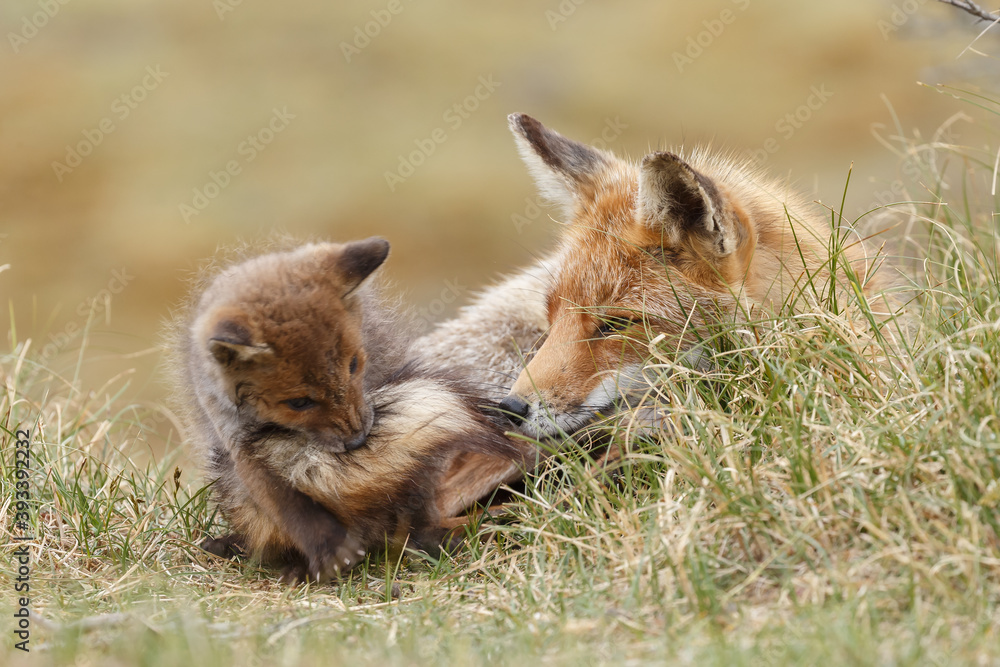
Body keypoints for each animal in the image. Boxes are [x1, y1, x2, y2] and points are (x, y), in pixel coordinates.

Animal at [168, 238, 532, 582]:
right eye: (299, 403)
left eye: (354, 365)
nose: (358, 440)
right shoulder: (233, 435)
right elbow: (283, 501)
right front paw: (327, 547)